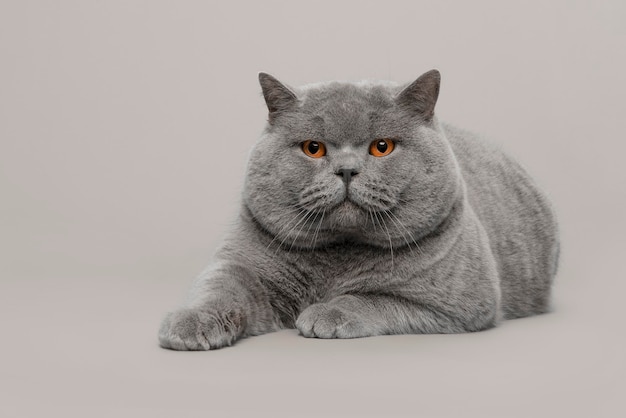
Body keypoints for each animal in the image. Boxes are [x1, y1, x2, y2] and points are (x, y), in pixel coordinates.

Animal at [158, 69, 560, 350]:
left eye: (382, 147)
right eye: (313, 148)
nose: (348, 170)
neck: (336, 258)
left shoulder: (462, 303)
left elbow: (374, 298)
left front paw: (328, 312)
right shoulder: (238, 263)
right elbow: (218, 288)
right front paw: (191, 323)